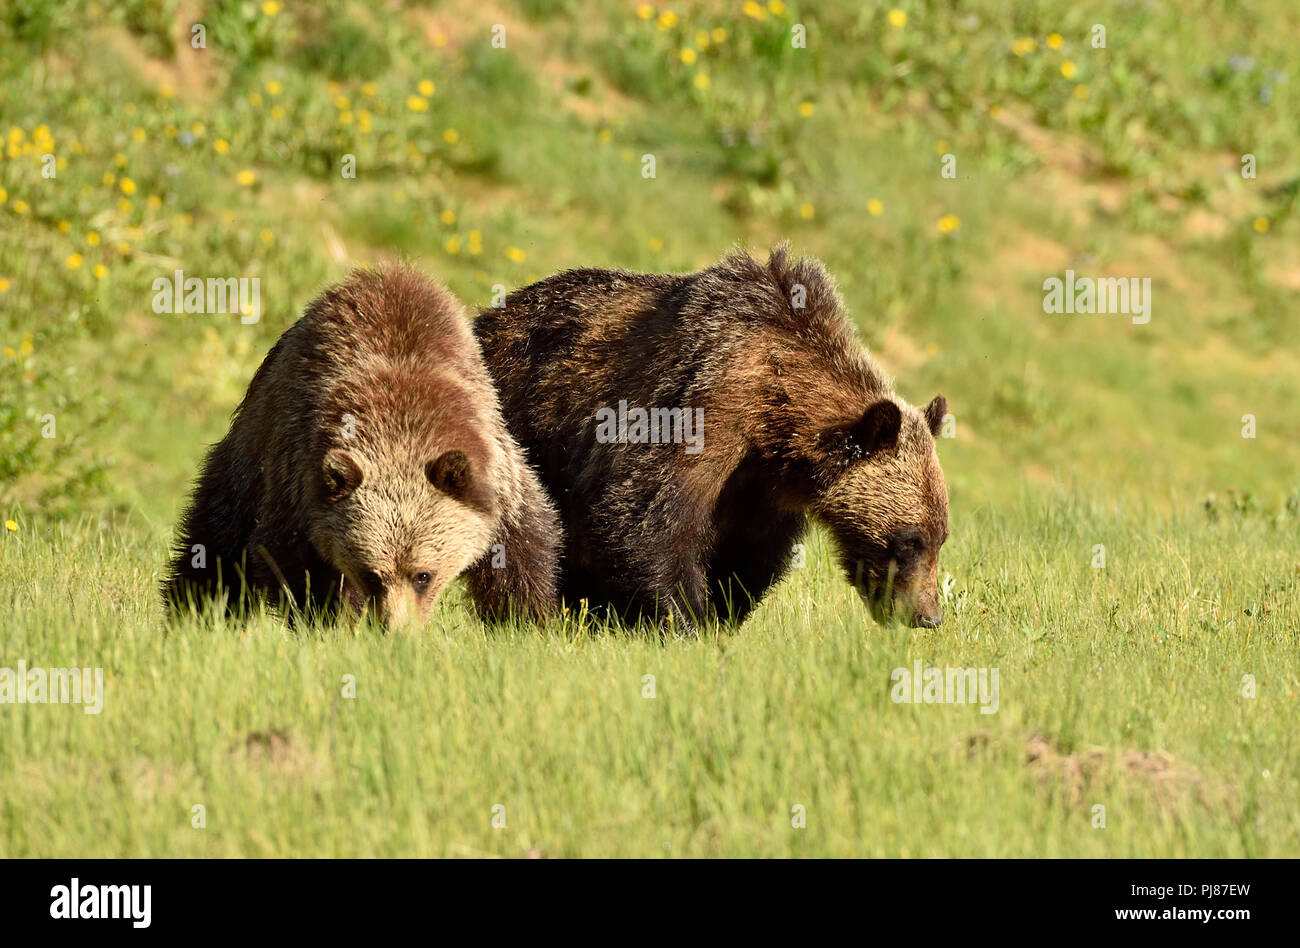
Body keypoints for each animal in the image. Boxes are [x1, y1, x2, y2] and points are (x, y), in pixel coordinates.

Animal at [162, 262, 559, 624]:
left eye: (423, 575)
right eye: (372, 574)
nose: (396, 629)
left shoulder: (498, 475)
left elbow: (523, 552)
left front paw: (527, 619)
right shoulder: (299, 481)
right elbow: (298, 566)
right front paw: (332, 621)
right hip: (254, 444)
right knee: (218, 531)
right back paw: (192, 607)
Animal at [473, 245, 951, 629]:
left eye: (940, 536)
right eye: (910, 539)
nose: (928, 616)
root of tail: (488, 316)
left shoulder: (761, 488)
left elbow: (747, 555)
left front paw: (719, 615)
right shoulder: (702, 405)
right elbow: (646, 518)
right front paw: (684, 620)